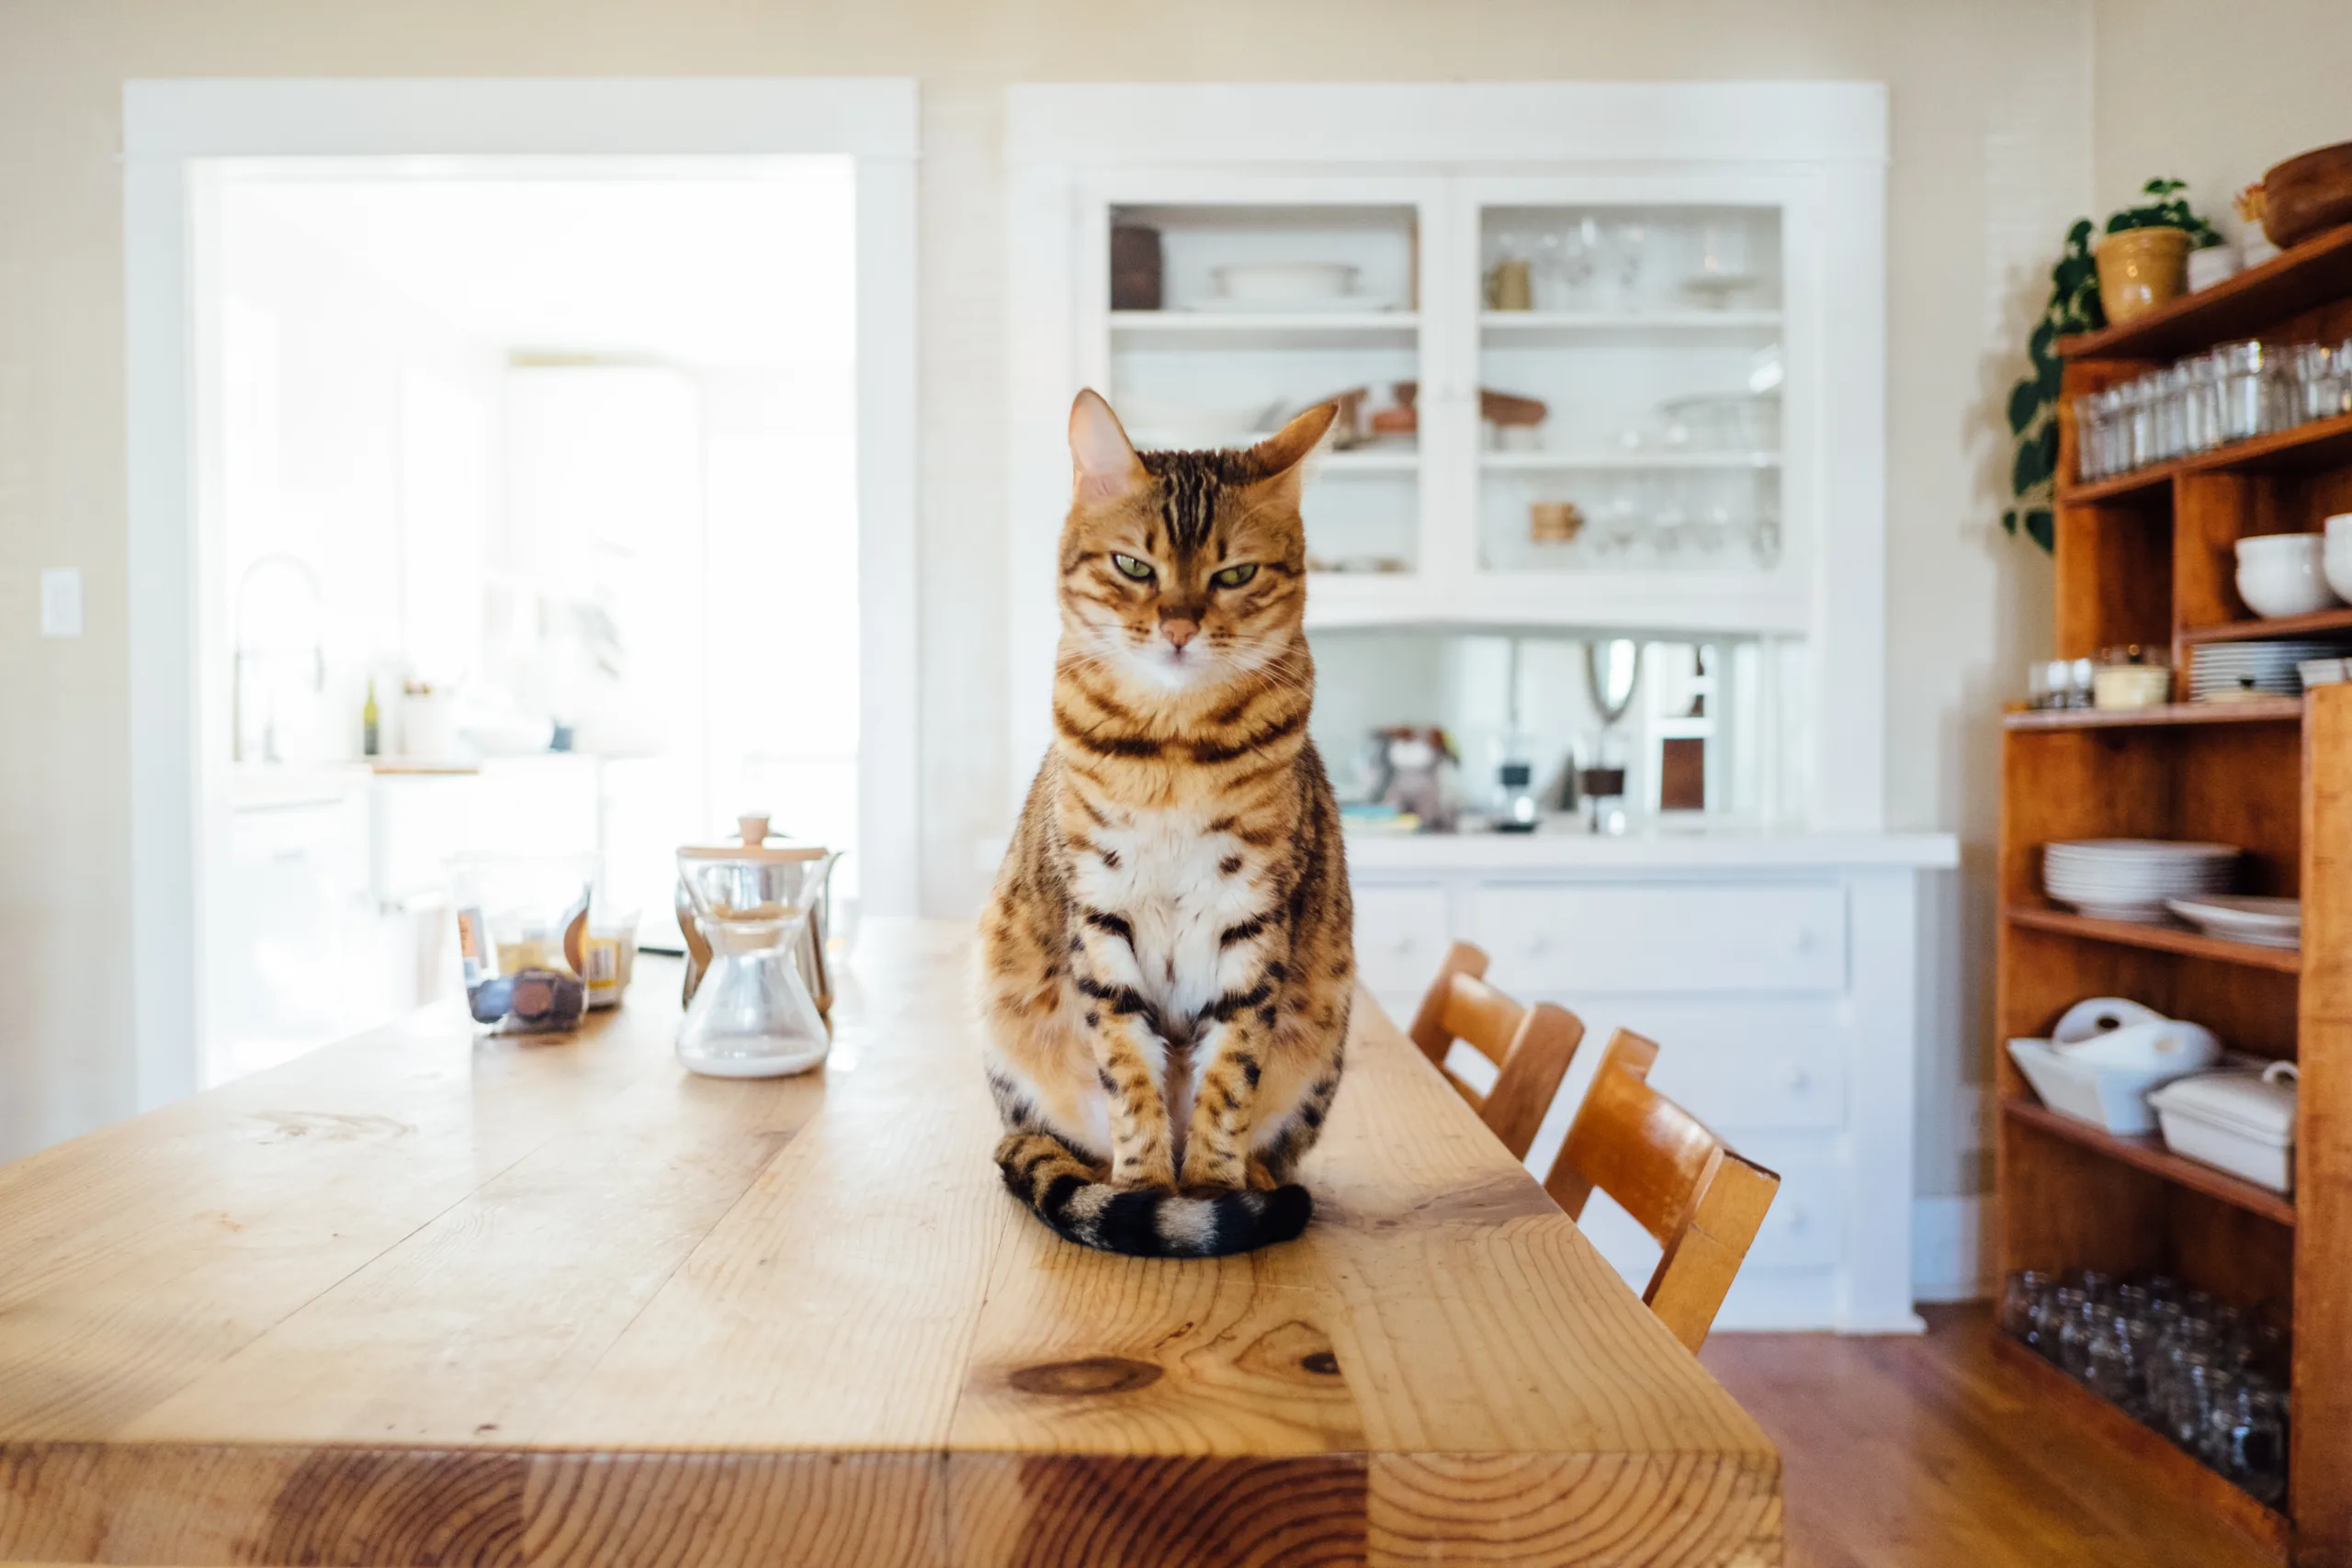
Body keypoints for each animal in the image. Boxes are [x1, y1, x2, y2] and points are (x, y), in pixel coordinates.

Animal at [978, 392, 1363, 1259]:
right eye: (1133, 566)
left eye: (1235, 573)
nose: (1180, 625)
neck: (1174, 749)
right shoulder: (1100, 910)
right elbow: (1127, 1069)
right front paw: (1147, 1187)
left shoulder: (1254, 916)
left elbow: (1230, 1074)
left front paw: (1213, 1189)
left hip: (1325, 1031)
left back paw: (1256, 1181)